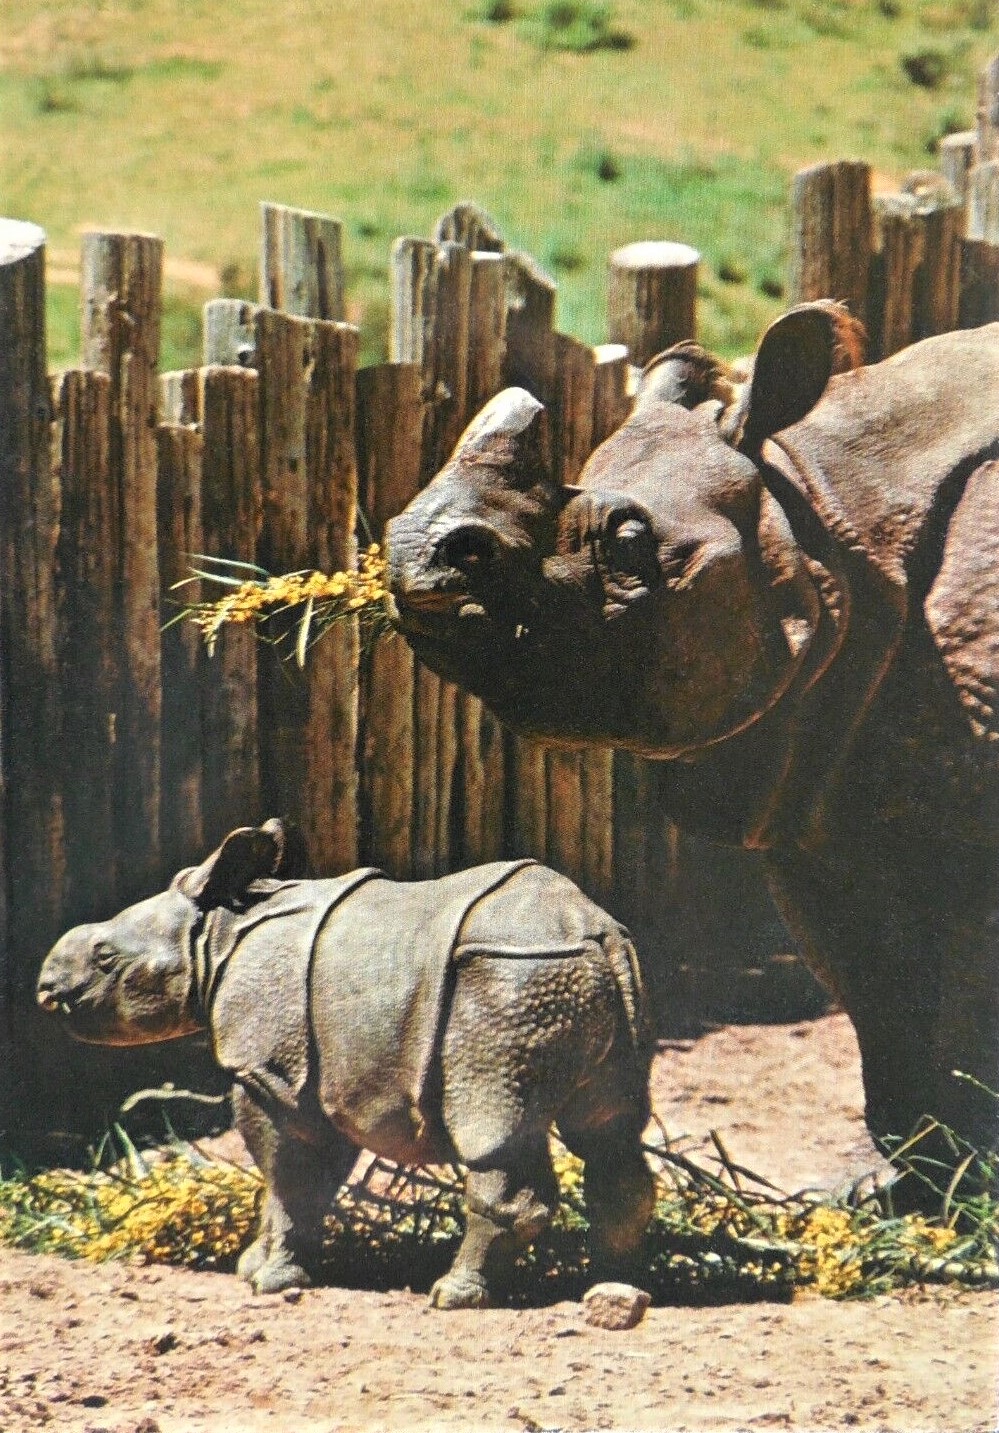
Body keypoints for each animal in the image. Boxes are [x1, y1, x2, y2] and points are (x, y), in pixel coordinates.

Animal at [36, 820, 655, 1307]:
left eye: (106, 958)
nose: (46, 986)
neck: (215, 935)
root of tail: (597, 934)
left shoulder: (270, 1071)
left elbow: (292, 1176)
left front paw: (271, 1280)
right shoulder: (313, 1076)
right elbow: (300, 1178)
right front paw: (252, 1266)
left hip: (511, 983)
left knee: (495, 1130)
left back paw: (455, 1296)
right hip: (583, 980)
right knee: (609, 1131)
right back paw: (614, 1287)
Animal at [386, 303, 999, 1190]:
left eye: (627, 542)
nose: (416, 556)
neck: (826, 508)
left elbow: (961, 991)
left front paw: (962, 1188)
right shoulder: (813, 784)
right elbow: (873, 991)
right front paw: (893, 1185)